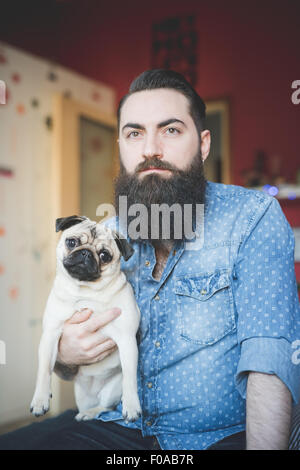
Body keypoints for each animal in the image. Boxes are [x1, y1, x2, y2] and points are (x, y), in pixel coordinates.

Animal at [30, 216, 142, 422]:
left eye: (105, 255)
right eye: (72, 242)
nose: (86, 253)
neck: (85, 292)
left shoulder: (127, 340)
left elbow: (130, 378)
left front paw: (131, 406)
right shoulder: (50, 335)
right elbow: (44, 371)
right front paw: (40, 399)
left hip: (111, 390)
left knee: (106, 406)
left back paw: (90, 413)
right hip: (82, 395)